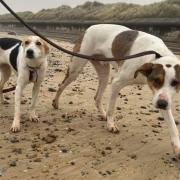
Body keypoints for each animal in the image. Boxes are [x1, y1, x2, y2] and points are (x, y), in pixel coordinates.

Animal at [52, 23, 180, 158]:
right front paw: (111, 125)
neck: (155, 55)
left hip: (104, 73)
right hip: (75, 68)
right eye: (156, 80)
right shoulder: (116, 83)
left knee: (97, 97)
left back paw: (102, 114)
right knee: (61, 85)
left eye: (175, 83)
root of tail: (89, 28)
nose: (162, 104)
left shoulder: (162, 96)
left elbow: (172, 125)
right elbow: (111, 109)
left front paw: (177, 146)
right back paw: (55, 102)